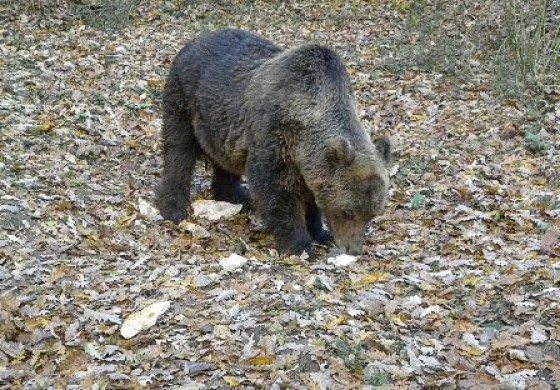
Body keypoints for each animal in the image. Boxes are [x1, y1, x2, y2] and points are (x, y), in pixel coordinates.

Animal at [156, 29, 394, 254]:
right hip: (185, 102)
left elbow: (310, 193)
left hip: (220, 126)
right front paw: (300, 244)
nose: (354, 250)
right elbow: (278, 192)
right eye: (349, 212)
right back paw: (174, 207)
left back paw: (238, 196)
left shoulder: (306, 160)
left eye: (371, 214)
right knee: (179, 152)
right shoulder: (274, 138)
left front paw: (320, 232)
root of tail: (195, 40)